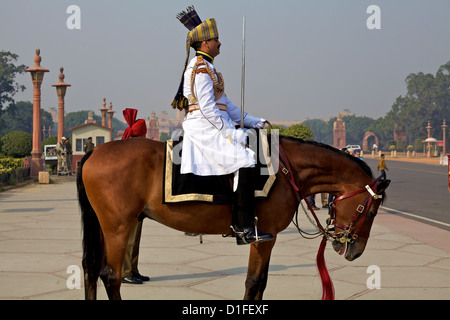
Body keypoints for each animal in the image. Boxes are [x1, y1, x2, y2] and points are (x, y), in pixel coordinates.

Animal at [78, 136, 390, 300]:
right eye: (372, 210)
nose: (354, 250)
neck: (286, 172)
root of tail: (94, 151)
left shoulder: (268, 238)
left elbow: (262, 281)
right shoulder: (263, 236)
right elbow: (253, 280)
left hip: (105, 226)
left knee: (91, 269)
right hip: (118, 227)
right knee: (110, 275)